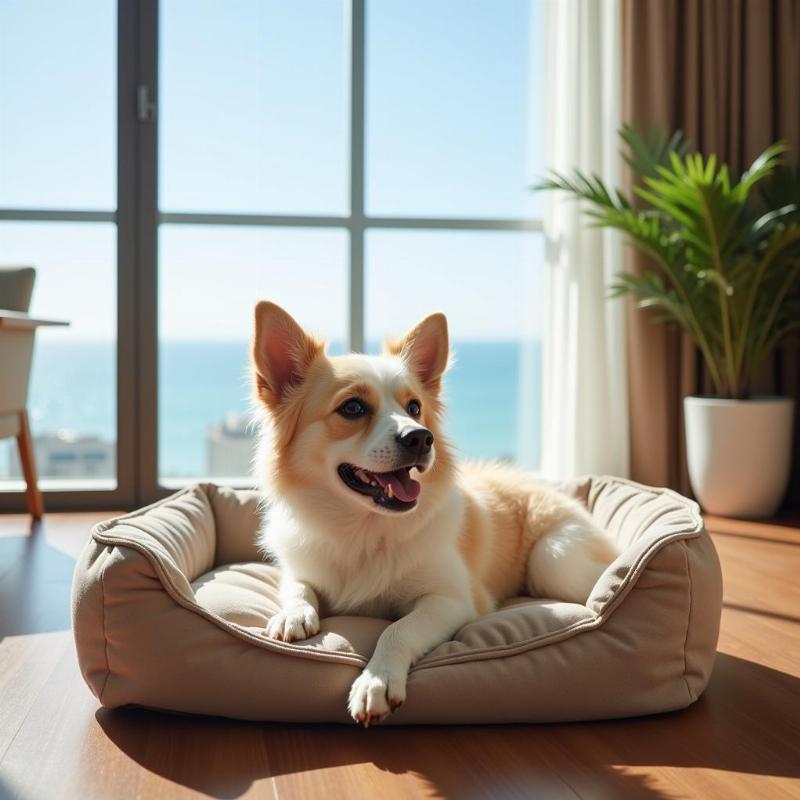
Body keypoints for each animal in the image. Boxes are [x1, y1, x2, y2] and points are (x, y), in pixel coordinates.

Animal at [250, 300, 620, 724]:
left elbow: (397, 630)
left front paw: (376, 681)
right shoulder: (299, 570)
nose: (420, 437)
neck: (363, 527)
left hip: (553, 559)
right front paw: (294, 615)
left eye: (414, 408)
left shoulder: (452, 600)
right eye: (353, 407)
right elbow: (298, 588)